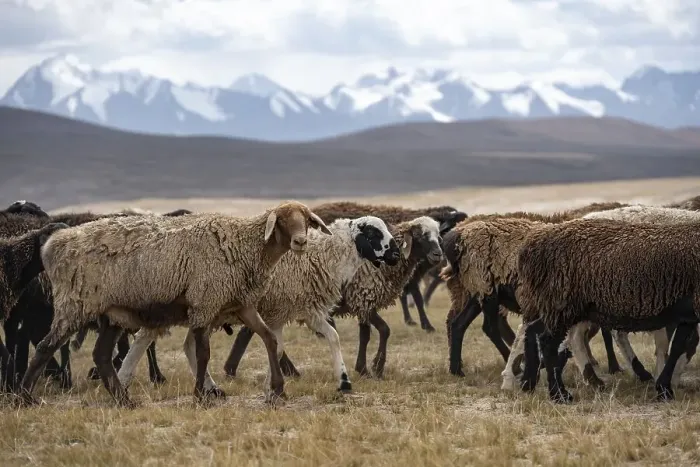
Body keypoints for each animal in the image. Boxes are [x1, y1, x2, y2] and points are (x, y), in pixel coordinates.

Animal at [16, 201, 332, 408]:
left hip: (112, 312)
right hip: (75, 304)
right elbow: (203, 353)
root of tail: (55, 244)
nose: (301, 242)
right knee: (46, 346)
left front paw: (278, 390)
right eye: (282, 220)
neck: (245, 245)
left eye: (306, 219)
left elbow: (269, 339)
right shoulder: (205, 302)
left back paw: (124, 400)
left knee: (101, 355)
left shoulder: (241, 303)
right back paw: (25, 397)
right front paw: (200, 394)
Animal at [118, 215, 400, 394]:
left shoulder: (307, 309)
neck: (320, 256)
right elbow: (277, 346)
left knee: (178, 344)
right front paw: (272, 385)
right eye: (373, 232)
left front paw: (343, 381)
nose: (396, 255)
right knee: (147, 339)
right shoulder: (277, 311)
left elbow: (333, 337)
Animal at [223, 216, 444, 379]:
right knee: (253, 333)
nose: (438, 255)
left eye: (439, 236)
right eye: (420, 235)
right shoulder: (362, 298)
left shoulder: (363, 302)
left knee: (252, 332)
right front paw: (375, 367)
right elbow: (383, 330)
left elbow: (366, 335)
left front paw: (364, 368)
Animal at [309, 201, 467, 332]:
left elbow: (409, 296)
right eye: (421, 235)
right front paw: (426, 325)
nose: (438, 254)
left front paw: (411, 320)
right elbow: (417, 298)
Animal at [516, 217, 700, 403]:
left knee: (532, 331)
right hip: (560, 304)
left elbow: (677, 348)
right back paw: (559, 394)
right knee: (548, 344)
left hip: (559, 307)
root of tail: (530, 246)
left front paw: (664, 389)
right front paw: (664, 388)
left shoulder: (688, 316)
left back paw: (528, 384)